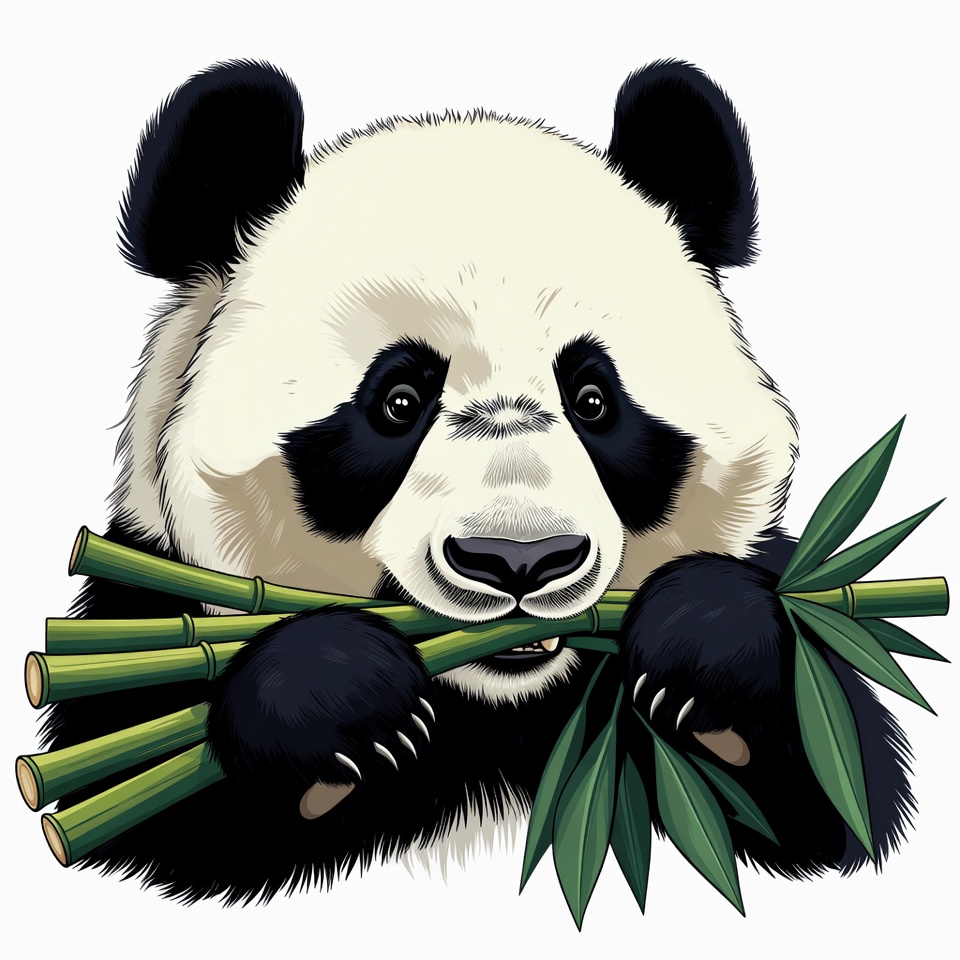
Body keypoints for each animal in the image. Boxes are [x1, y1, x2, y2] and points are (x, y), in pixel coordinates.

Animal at [41, 59, 913, 904]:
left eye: (593, 399)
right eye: (398, 402)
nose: (520, 560)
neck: (496, 704)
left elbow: (837, 785)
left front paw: (703, 640)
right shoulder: (145, 609)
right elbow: (161, 806)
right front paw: (341, 695)